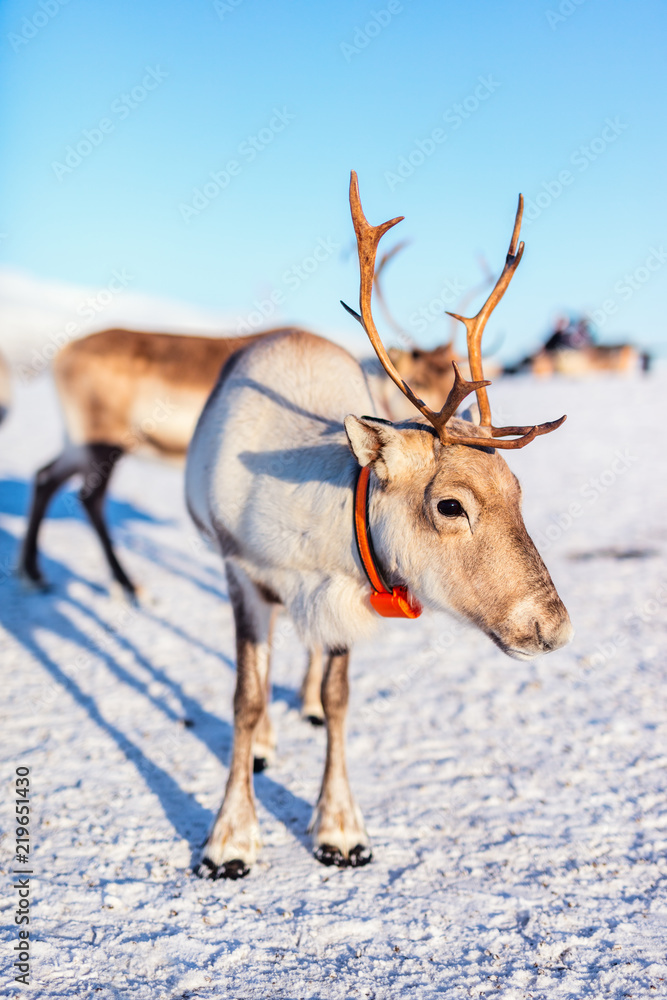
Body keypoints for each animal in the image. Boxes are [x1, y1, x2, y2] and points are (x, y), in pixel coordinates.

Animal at [183, 172, 573, 880]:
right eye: (451, 505)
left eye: (518, 492)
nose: (552, 628)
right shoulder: (239, 571)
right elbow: (244, 699)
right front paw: (228, 840)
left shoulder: (351, 589)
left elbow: (339, 699)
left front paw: (340, 830)